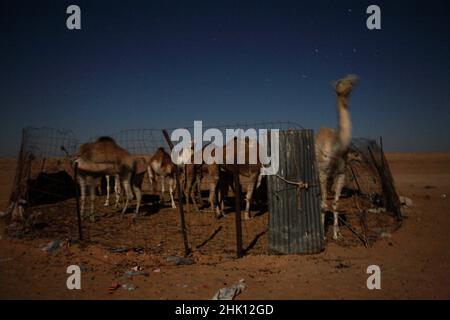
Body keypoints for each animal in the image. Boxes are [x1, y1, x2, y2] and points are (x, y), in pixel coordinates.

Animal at [316, 75, 358, 239]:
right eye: (339, 83)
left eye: (351, 81)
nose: (352, 81)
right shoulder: (322, 173)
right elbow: (323, 203)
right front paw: (322, 235)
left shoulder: (341, 173)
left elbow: (336, 203)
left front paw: (336, 234)